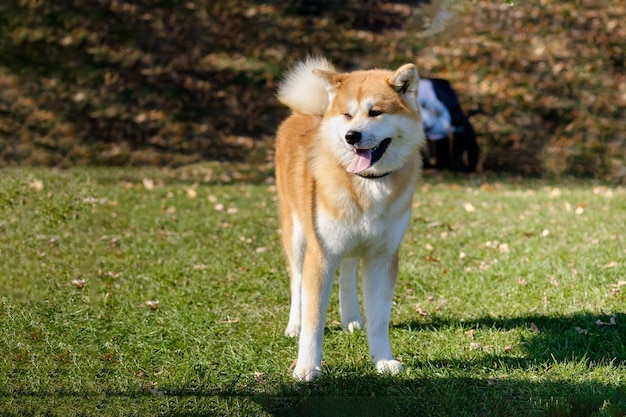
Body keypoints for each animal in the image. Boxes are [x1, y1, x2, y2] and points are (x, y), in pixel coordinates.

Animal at [274, 57, 424, 380]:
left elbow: (379, 318)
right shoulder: (321, 254)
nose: (351, 136)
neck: (366, 184)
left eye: (375, 112)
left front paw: (383, 360)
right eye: (347, 115)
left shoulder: (383, 256)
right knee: (296, 282)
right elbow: (314, 320)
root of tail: (307, 113)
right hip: (298, 235)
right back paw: (294, 324)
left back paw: (351, 318)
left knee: (348, 271)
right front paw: (307, 366)